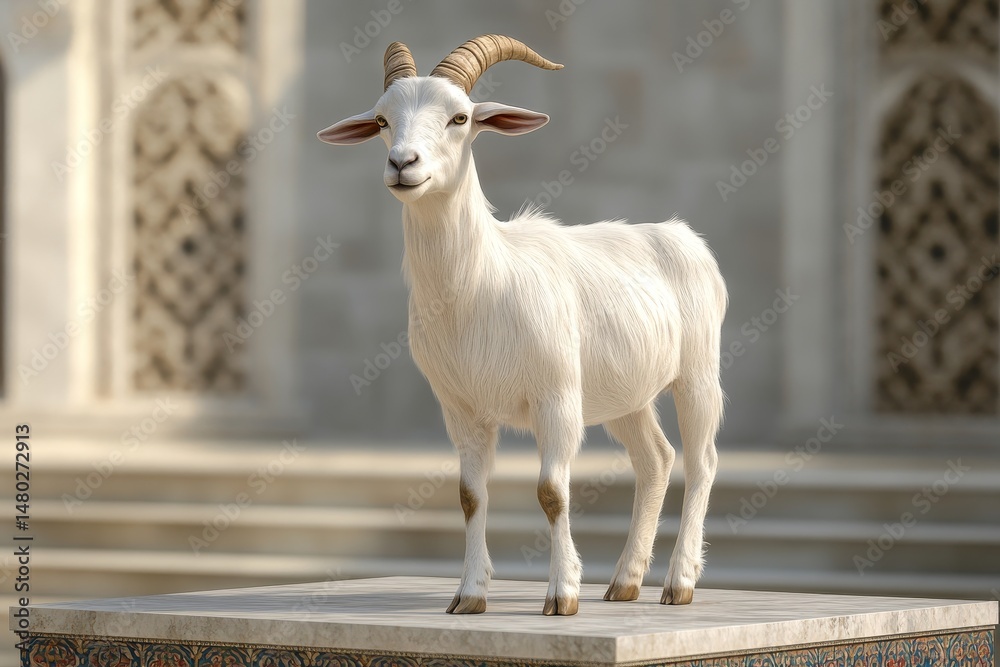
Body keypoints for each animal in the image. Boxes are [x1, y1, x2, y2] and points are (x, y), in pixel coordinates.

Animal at [318, 35, 727, 616]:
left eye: (460, 117)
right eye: (380, 120)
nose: (402, 163)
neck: (483, 284)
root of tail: (682, 235)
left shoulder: (556, 398)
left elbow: (552, 493)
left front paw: (562, 595)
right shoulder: (461, 410)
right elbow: (470, 497)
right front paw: (468, 596)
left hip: (697, 373)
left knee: (702, 462)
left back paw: (679, 583)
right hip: (623, 394)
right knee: (656, 459)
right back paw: (624, 583)